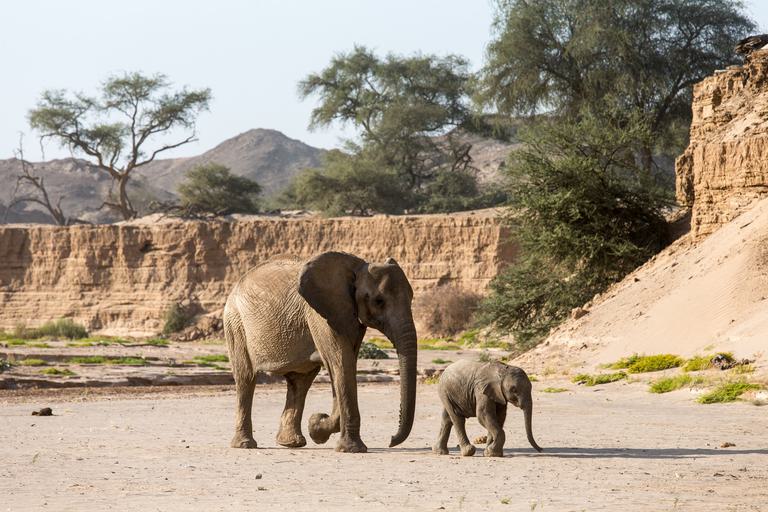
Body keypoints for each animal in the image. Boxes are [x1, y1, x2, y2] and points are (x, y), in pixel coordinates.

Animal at [223, 251, 418, 453]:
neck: (356, 267)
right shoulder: (320, 315)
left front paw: (316, 427)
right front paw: (342, 443)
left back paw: (291, 443)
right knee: (246, 377)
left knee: (300, 381)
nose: (391, 440)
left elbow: (345, 365)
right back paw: (245, 445)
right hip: (235, 324)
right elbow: (341, 363)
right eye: (379, 301)